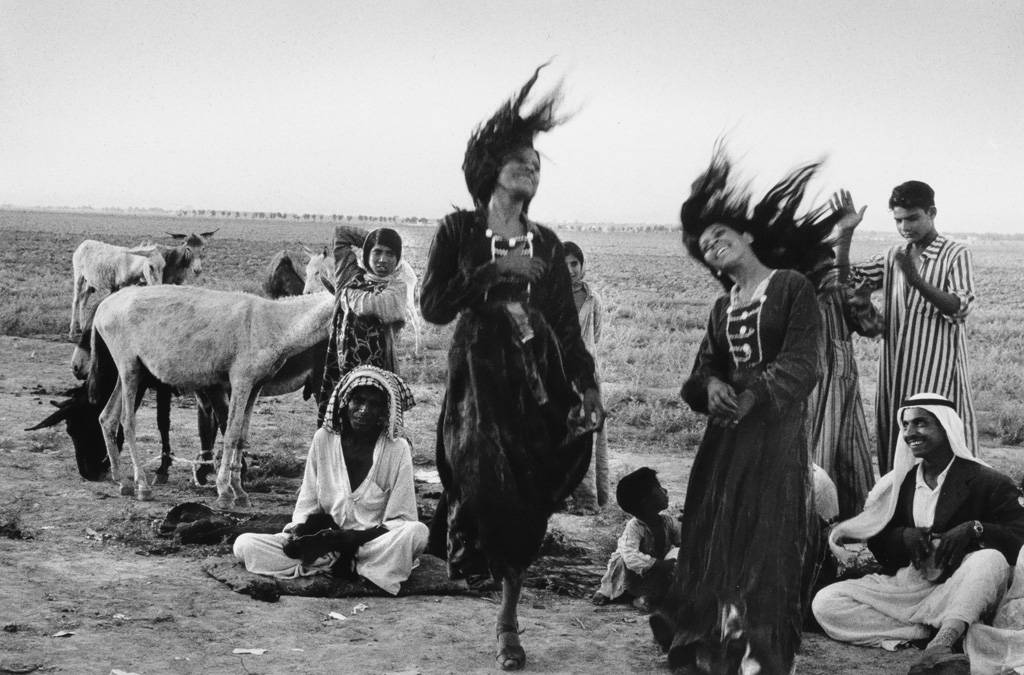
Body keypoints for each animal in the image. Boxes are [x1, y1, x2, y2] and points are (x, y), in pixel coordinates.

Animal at [90, 284, 331, 508]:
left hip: (132, 372)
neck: (272, 322)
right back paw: (142, 485)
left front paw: (239, 492)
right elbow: (231, 433)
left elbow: (242, 436)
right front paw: (224, 490)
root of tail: (105, 304)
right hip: (129, 368)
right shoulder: (239, 382)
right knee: (127, 421)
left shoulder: (255, 387)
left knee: (107, 418)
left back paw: (123, 482)